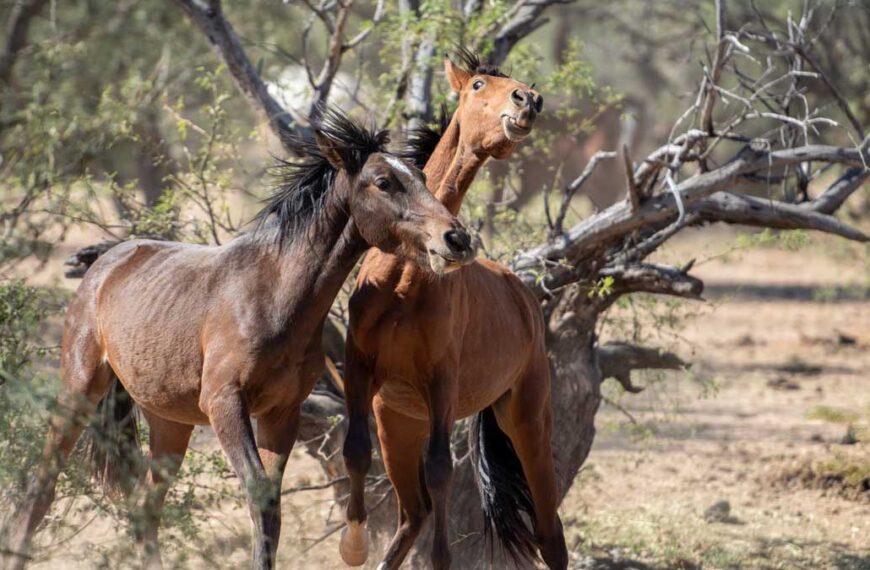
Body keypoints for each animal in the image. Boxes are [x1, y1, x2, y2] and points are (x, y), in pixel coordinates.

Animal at [0, 108, 475, 570]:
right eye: (383, 182)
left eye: (423, 178)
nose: (457, 238)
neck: (273, 294)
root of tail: (105, 262)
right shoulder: (224, 403)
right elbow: (259, 495)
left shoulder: (281, 413)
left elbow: (271, 504)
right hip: (79, 391)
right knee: (42, 489)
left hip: (169, 422)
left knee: (146, 508)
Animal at [339, 50, 567, 570]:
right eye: (479, 84)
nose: (529, 100)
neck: (404, 283)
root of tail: (524, 298)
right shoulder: (361, 372)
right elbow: (355, 450)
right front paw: (353, 543)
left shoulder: (441, 382)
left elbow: (442, 470)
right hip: (400, 425)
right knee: (411, 514)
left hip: (526, 420)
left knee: (551, 534)